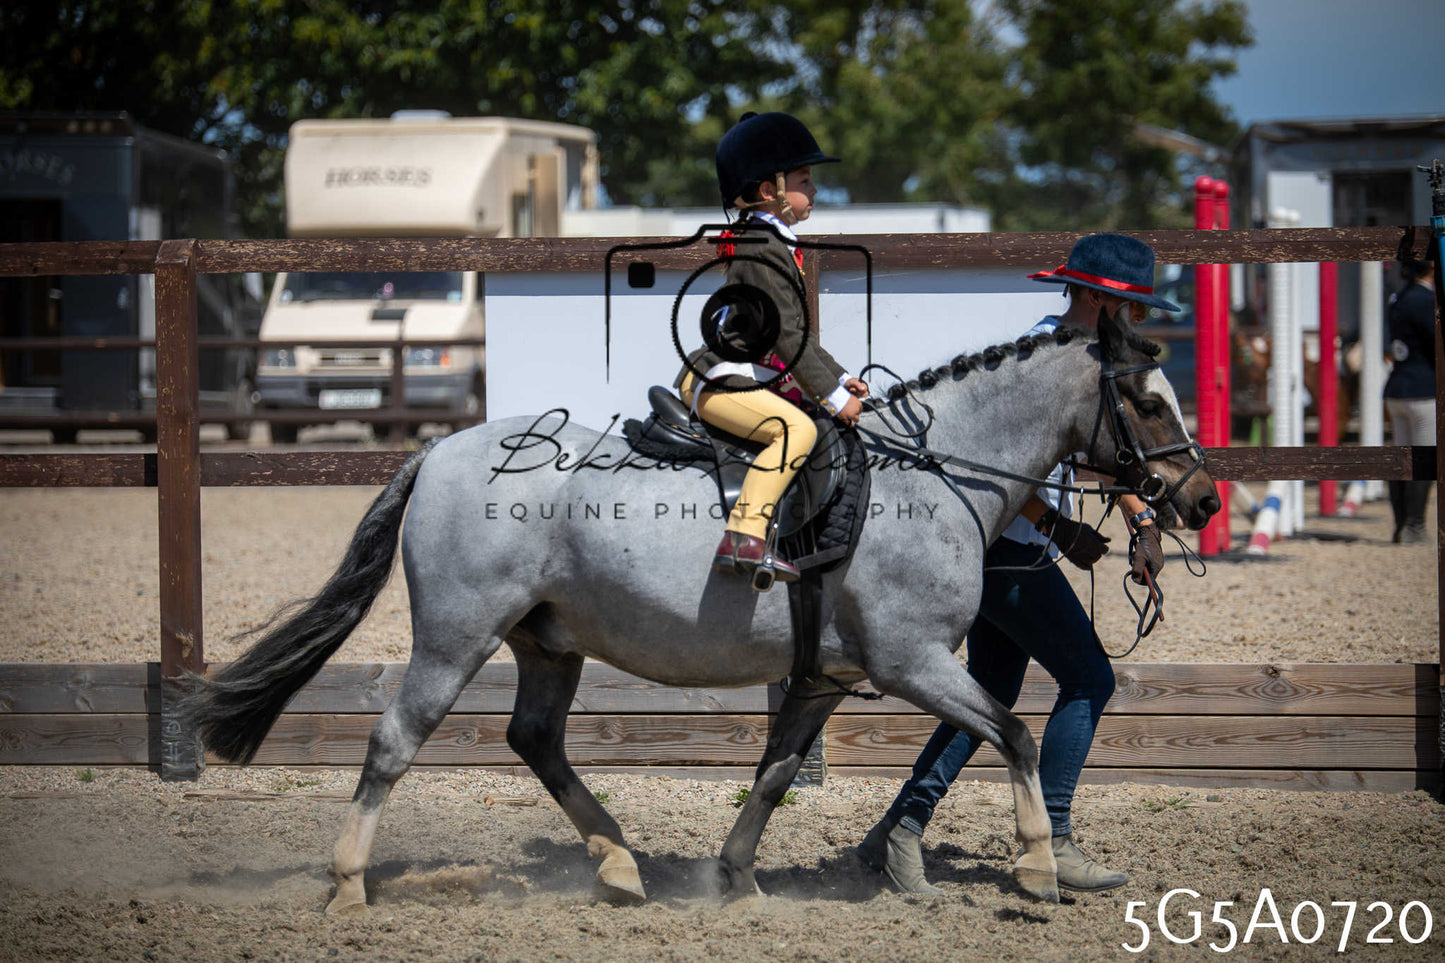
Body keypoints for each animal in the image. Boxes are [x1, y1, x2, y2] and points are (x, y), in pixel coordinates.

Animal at [177, 305, 1219, 914]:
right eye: (1147, 403)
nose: (1202, 501)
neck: (935, 476)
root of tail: (439, 449)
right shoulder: (911, 662)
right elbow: (1014, 732)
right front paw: (1038, 867)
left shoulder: (825, 677)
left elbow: (774, 771)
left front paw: (733, 878)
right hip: (454, 635)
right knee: (395, 739)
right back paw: (350, 887)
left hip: (548, 642)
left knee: (535, 740)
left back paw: (616, 865)